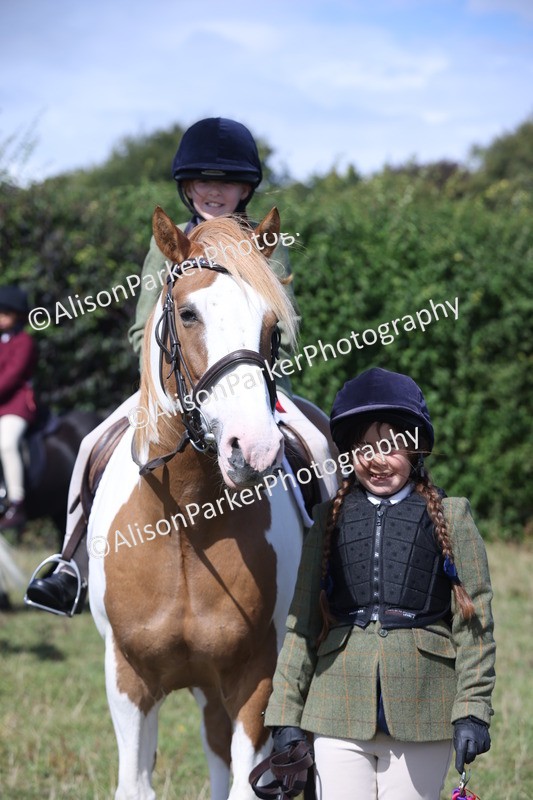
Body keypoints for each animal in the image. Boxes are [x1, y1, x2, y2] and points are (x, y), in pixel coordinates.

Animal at [88, 206, 334, 800]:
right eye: (188, 313)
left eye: (272, 326)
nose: (255, 447)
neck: (185, 522)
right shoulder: (127, 677)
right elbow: (135, 784)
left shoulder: (256, 673)